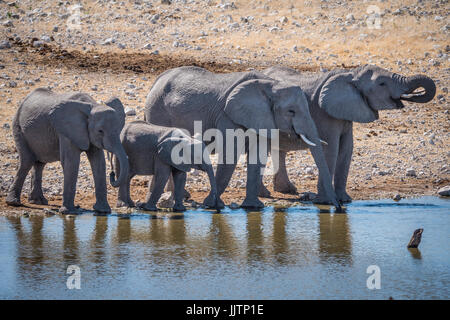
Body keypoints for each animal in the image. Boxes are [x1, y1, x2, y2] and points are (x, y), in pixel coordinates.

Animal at [146, 66, 340, 209]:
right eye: (291, 111)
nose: (337, 208)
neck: (271, 86)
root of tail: (157, 80)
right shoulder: (228, 116)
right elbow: (230, 154)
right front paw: (213, 205)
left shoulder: (262, 118)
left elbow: (258, 156)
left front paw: (253, 207)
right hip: (157, 112)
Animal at [260, 64, 436, 202]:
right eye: (382, 83)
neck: (351, 75)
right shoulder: (324, 114)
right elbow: (331, 149)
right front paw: (326, 201)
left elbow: (347, 148)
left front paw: (345, 200)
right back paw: (267, 193)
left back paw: (287, 190)